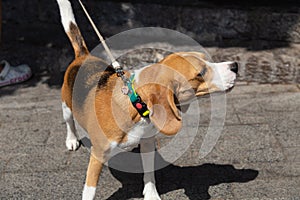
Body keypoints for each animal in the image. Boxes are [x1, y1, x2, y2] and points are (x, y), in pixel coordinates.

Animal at [57, 0, 238, 199]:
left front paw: (151, 194)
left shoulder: (148, 144)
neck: (136, 104)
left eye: (207, 59)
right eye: (201, 73)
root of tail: (83, 56)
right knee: (70, 123)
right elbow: (90, 190)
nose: (235, 66)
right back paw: (72, 140)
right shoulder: (97, 156)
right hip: (66, 107)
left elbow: (149, 174)